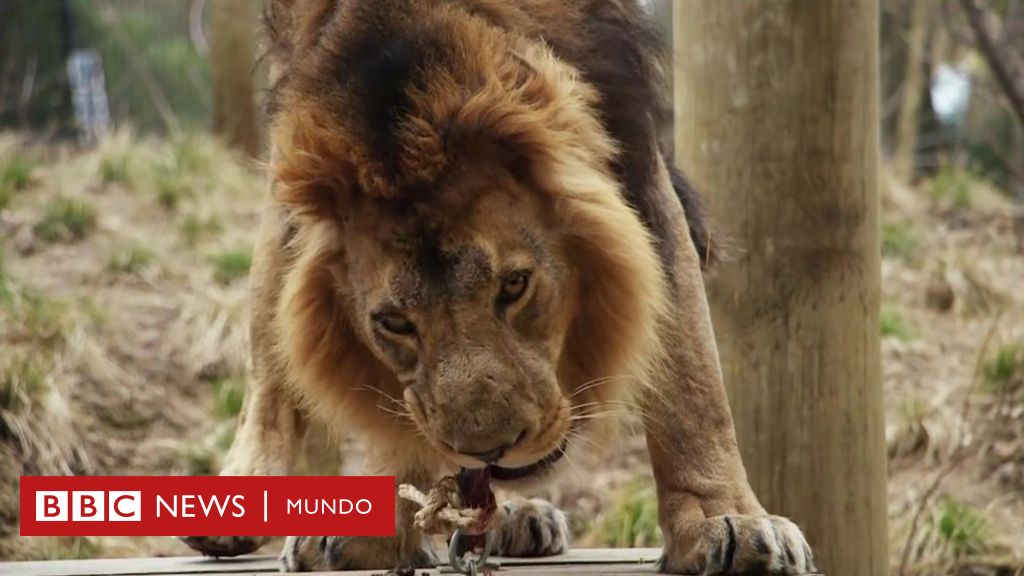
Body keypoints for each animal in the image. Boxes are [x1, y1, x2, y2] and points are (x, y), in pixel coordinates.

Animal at [182, 1, 815, 569]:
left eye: (514, 286)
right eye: (394, 323)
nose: (490, 448)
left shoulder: (631, 149)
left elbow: (690, 374)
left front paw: (725, 520)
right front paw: (381, 527)